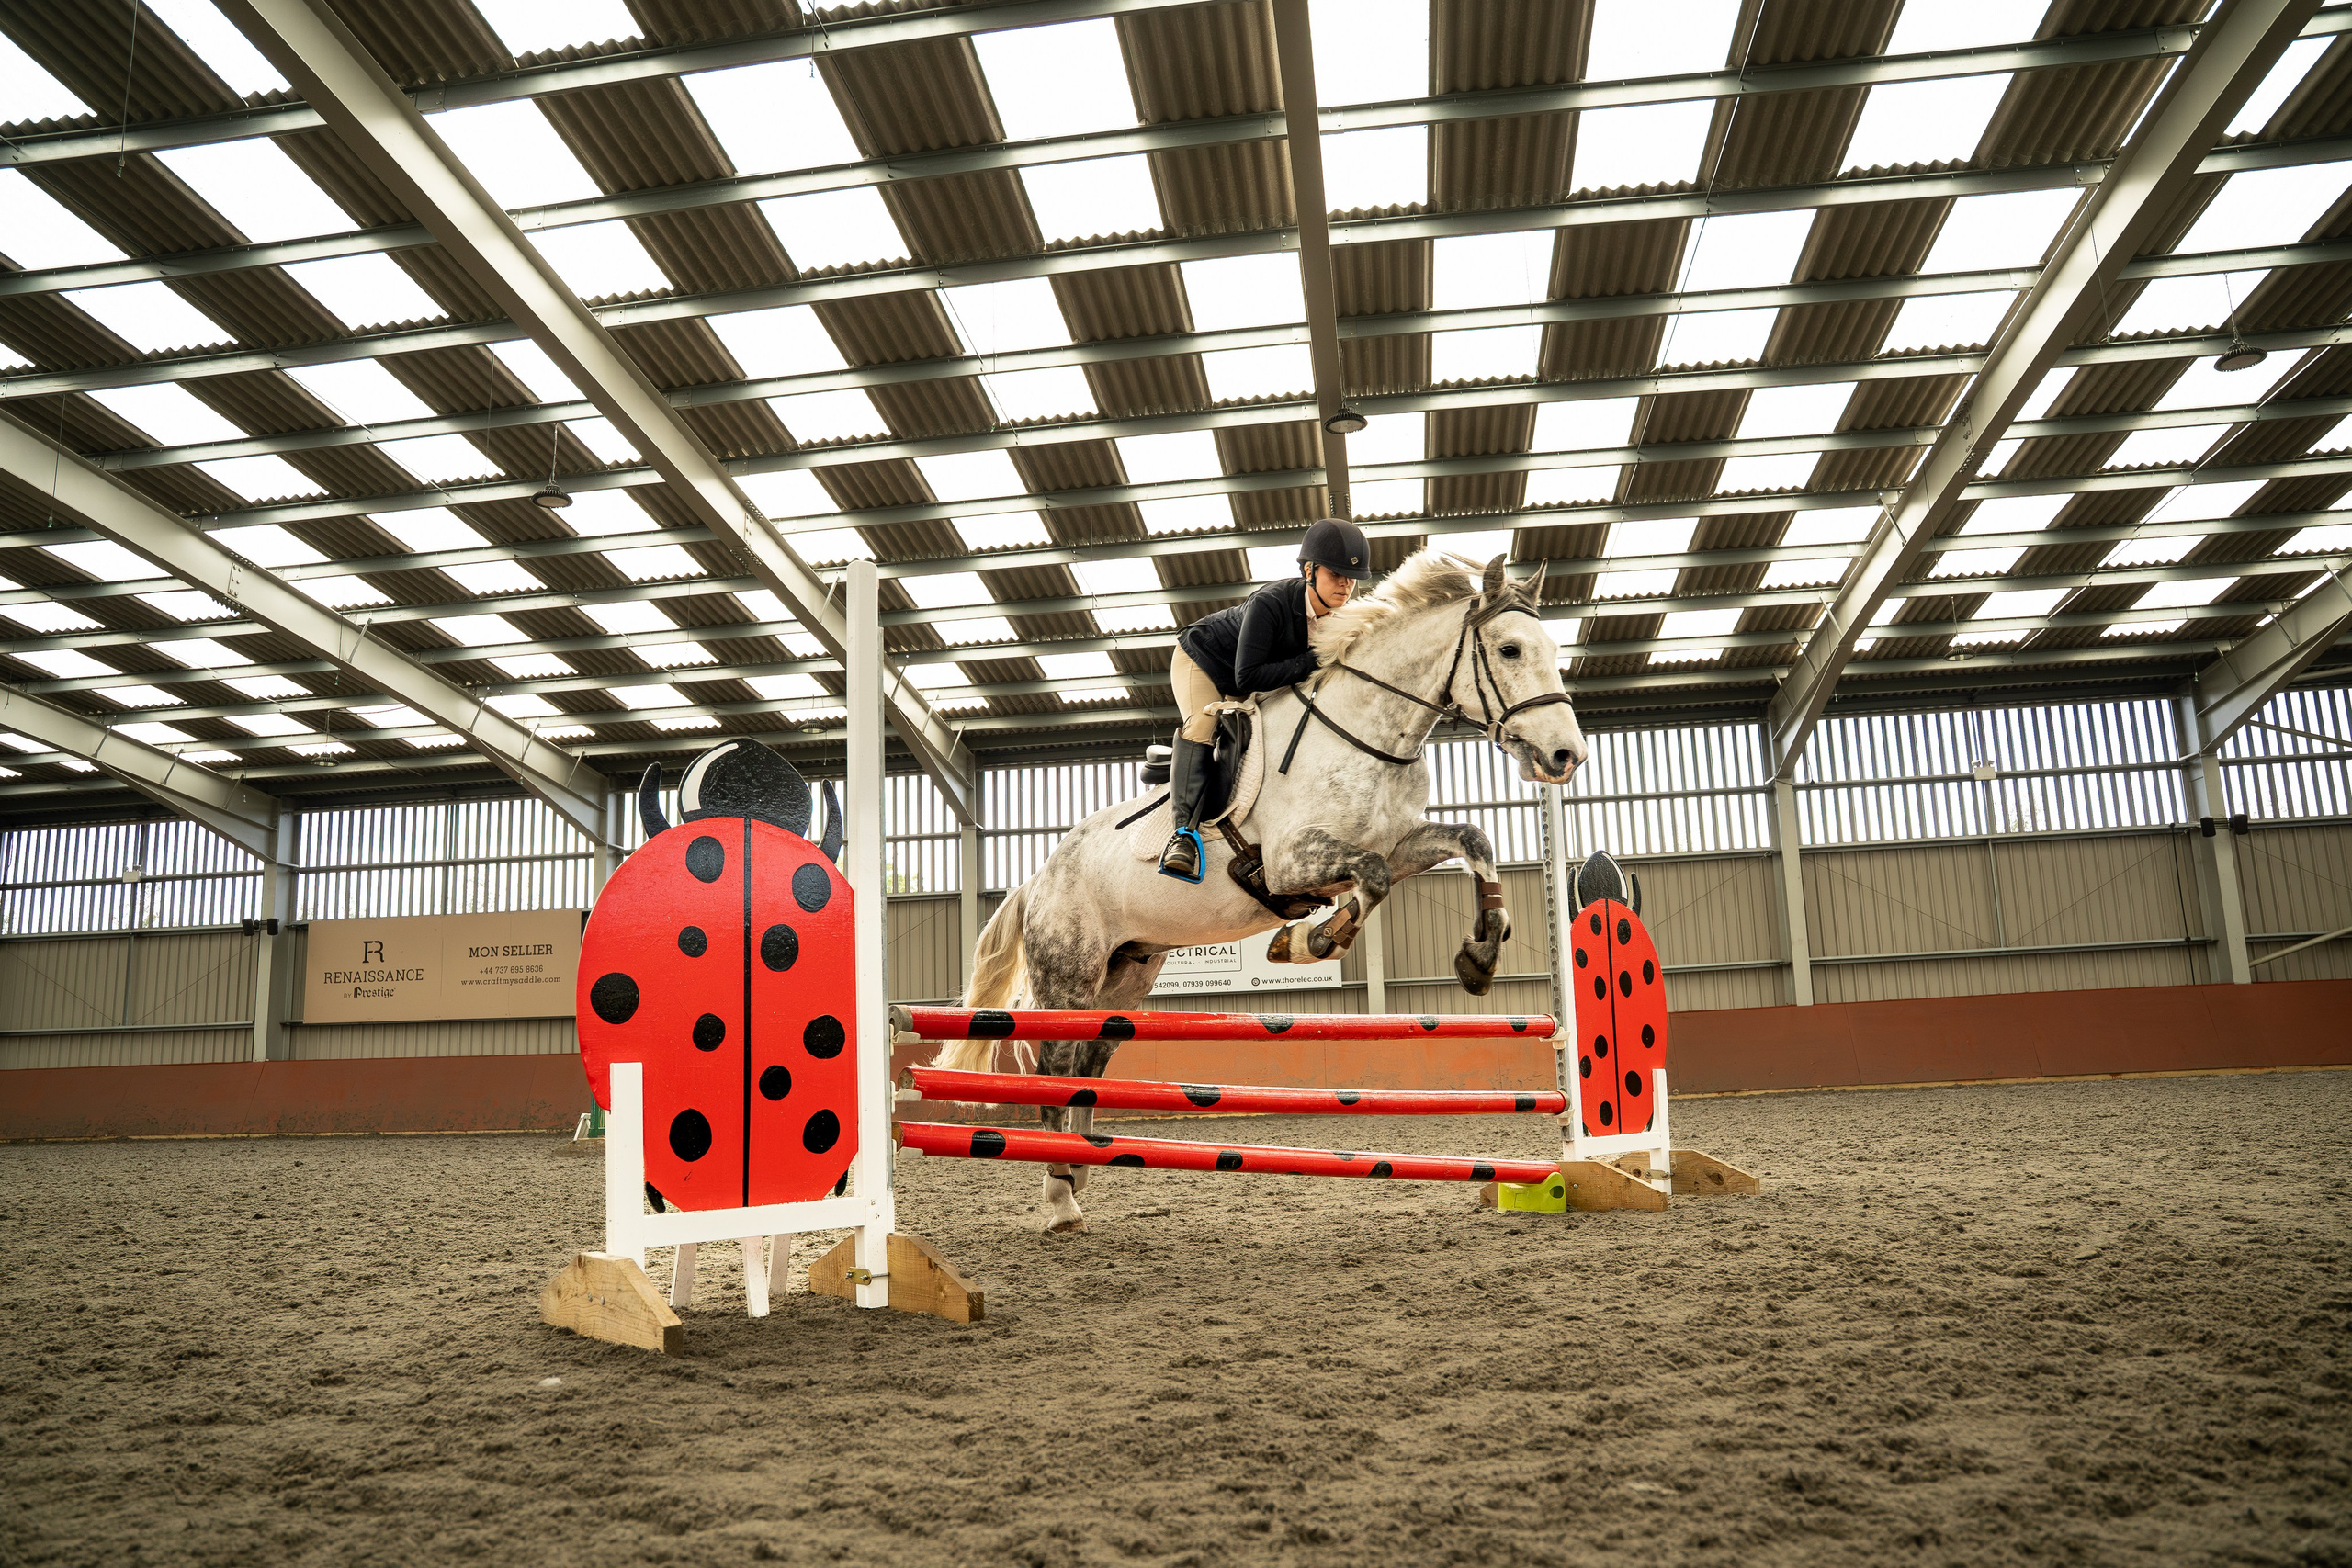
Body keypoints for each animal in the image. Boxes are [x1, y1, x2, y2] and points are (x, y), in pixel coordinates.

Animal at [934, 549, 1590, 1232]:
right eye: (1510, 649)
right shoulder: (1291, 862)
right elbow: (1370, 879)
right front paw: (1308, 941)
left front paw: (1479, 955)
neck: (1364, 732)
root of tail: (1039, 877)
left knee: (1090, 1059)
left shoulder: (1399, 844)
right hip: (1070, 973)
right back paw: (1060, 1195)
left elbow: (1471, 840)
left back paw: (1081, 1165)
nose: (1566, 756)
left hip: (1127, 974)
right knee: (1054, 1062)